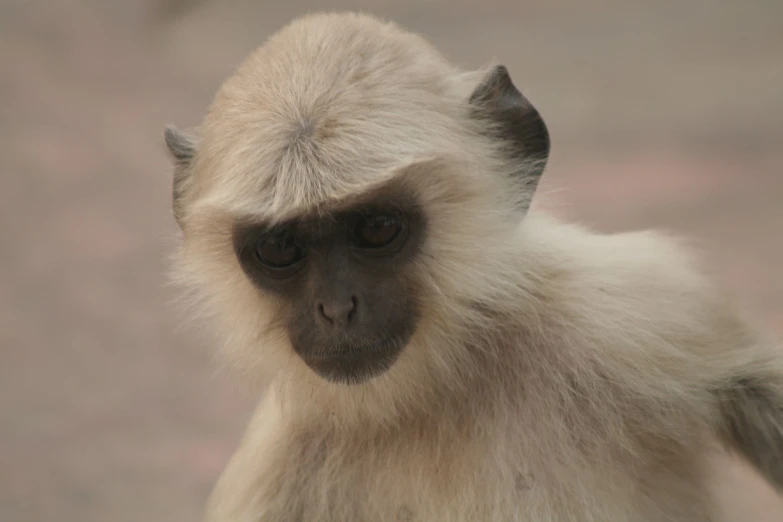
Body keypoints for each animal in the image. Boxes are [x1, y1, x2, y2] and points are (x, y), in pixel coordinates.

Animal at [164, 11, 783, 520]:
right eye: (280, 248)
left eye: (378, 228)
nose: (337, 308)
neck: (441, 384)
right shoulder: (277, 464)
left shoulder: (639, 306)